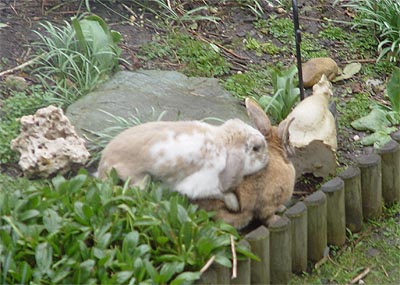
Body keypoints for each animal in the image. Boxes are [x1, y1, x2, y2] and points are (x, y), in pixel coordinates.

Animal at [97, 117, 268, 211]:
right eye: (256, 148)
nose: (267, 160)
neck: (223, 143)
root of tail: (104, 161)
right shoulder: (203, 183)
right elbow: (220, 193)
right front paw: (234, 203)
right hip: (139, 180)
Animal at [194, 97, 296, 229]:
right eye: (288, 138)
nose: (294, 149)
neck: (275, 151)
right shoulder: (269, 201)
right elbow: (267, 215)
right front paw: (277, 219)